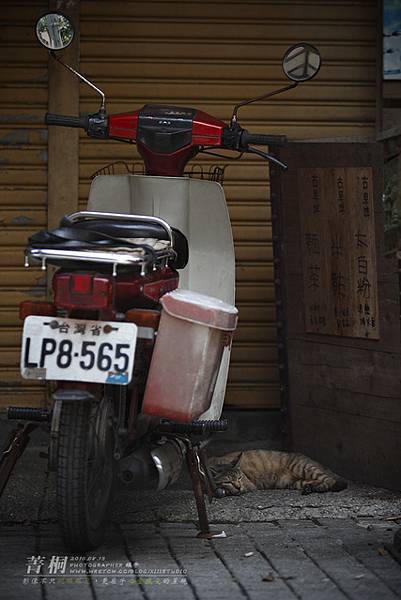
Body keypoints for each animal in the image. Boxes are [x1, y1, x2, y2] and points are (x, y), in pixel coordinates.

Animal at [208, 450, 346, 496]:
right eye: (227, 481)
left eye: (240, 478)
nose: (238, 486)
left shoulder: (249, 486)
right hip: (292, 482)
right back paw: (310, 488)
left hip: (302, 467)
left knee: (330, 480)